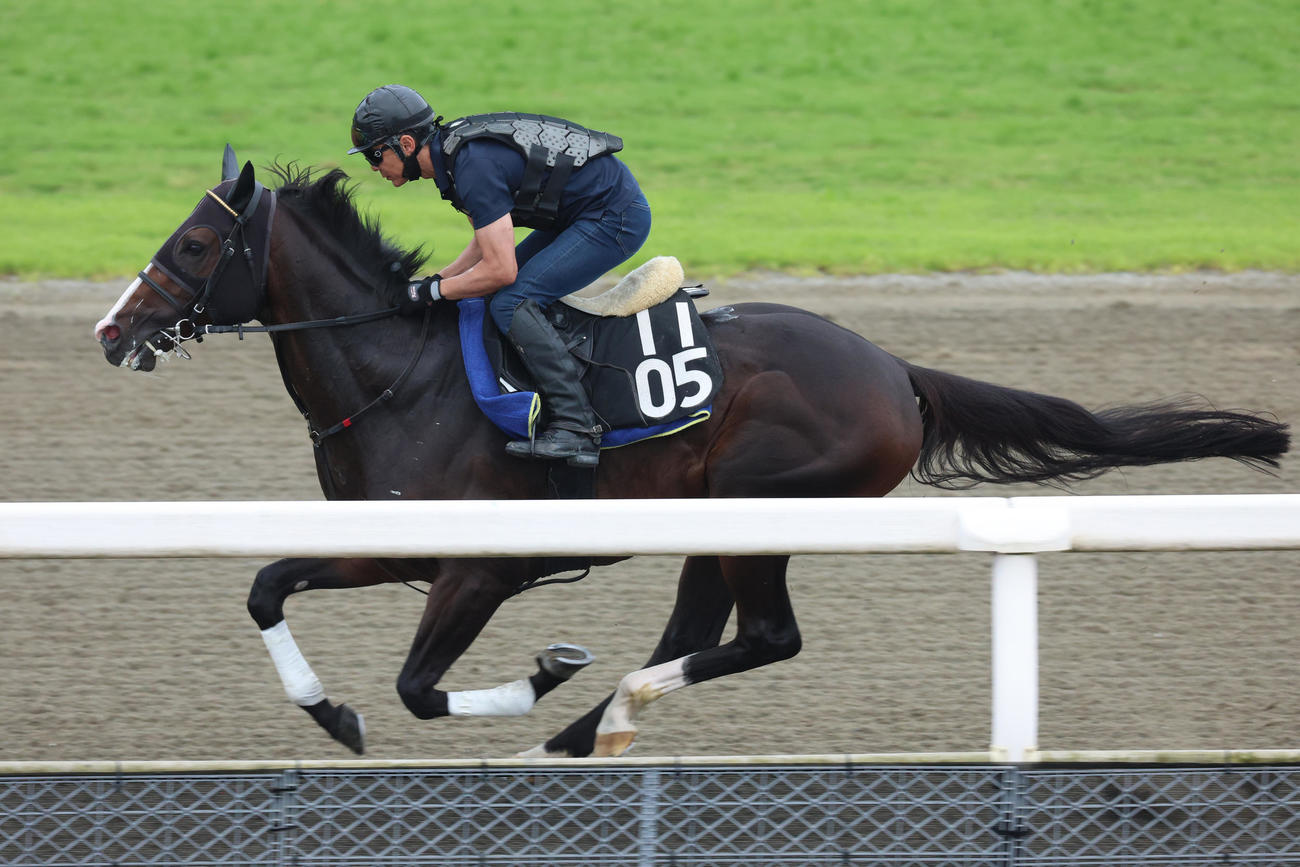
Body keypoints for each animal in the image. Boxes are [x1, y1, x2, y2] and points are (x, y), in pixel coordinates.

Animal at [93, 151, 1289, 758]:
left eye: (193, 243)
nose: (111, 330)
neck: (402, 376)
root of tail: (892, 367)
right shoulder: (388, 548)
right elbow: (265, 586)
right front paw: (329, 712)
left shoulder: (479, 566)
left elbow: (421, 690)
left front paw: (540, 671)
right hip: (705, 516)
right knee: (700, 629)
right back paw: (588, 732)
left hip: (763, 504)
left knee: (763, 635)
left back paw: (601, 711)